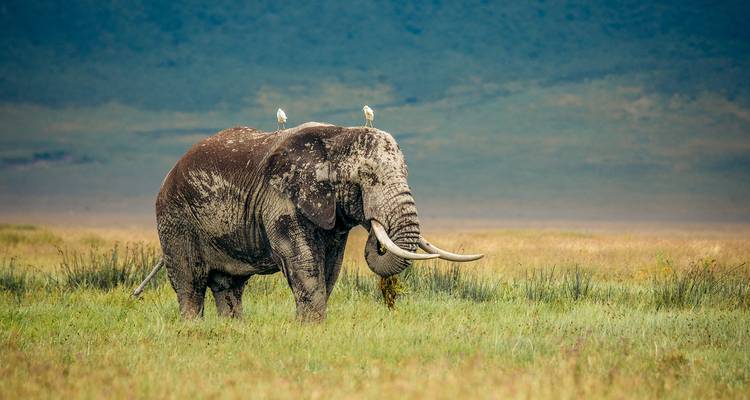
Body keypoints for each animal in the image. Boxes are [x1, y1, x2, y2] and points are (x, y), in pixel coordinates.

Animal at [134, 122, 483, 322]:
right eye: (367, 177)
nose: (375, 227)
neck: (338, 137)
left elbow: (330, 266)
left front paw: (314, 328)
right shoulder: (280, 199)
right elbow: (303, 261)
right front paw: (310, 327)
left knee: (229, 286)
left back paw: (233, 330)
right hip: (175, 217)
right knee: (190, 283)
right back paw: (193, 329)